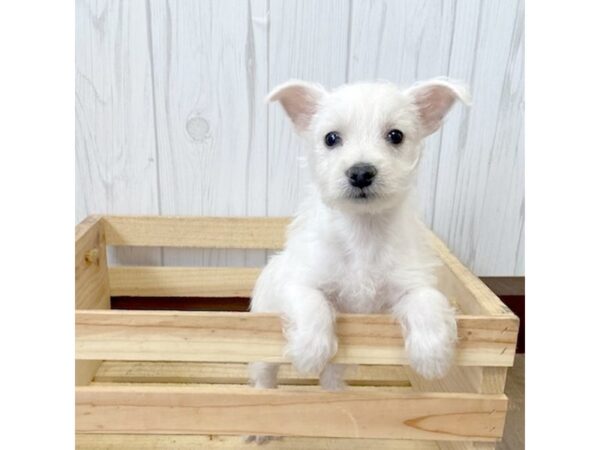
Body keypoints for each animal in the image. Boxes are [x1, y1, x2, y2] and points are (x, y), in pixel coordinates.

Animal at [247, 78, 468, 398]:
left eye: (395, 135)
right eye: (331, 138)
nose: (361, 172)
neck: (363, 231)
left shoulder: (408, 284)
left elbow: (427, 300)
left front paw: (432, 355)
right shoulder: (300, 282)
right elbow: (313, 303)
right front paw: (309, 351)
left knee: (331, 377)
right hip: (264, 343)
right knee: (264, 375)